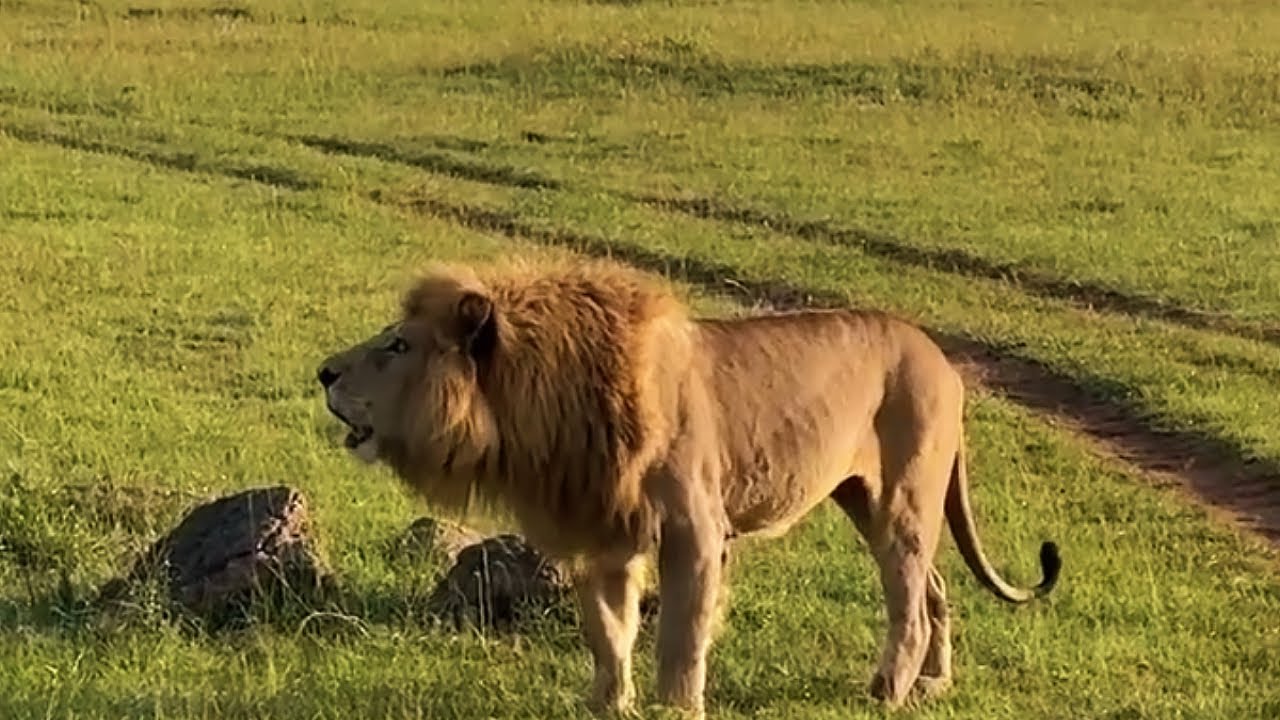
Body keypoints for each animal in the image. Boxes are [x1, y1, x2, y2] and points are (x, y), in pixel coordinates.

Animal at [316, 258, 1060, 718]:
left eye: (398, 346)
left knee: (909, 599)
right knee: (935, 587)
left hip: (901, 501)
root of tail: (942, 357)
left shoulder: (695, 531)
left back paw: (888, 689)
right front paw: (608, 705)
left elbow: (679, 633)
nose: (322, 372)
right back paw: (934, 682)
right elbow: (607, 630)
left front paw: (675, 707)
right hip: (869, 501)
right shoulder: (603, 532)